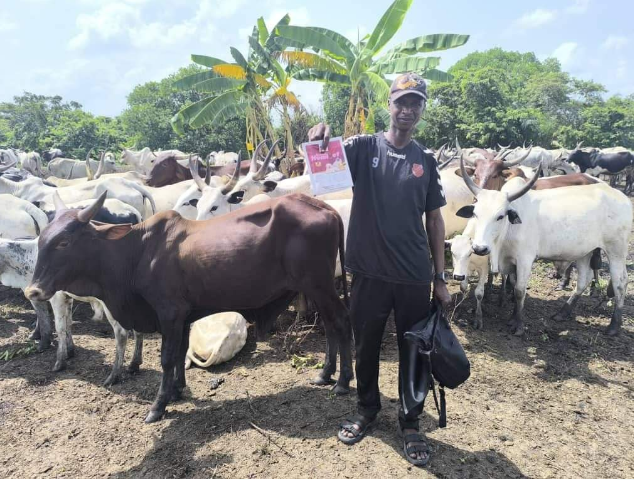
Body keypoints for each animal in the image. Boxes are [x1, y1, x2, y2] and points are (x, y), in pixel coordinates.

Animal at [25, 191, 350, 424]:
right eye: (42, 240)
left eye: (65, 242)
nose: (33, 290)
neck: (137, 253)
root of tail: (326, 208)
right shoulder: (182, 318)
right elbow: (180, 353)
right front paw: (176, 390)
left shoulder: (169, 313)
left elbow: (168, 358)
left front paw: (158, 405)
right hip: (318, 288)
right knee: (332, 325)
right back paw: (325, 374)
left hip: (319, 285)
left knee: (340, 322)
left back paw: (343, 381)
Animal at [456, 159, 628, 336]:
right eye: (475, 213)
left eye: (500, 216)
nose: (479, 248)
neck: (507, 232)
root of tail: (621, 197)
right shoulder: (512, 261)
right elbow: (514, 284)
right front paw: (512, 318)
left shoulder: (525, 259)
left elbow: (519, 290)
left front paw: (518, 325)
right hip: (584, 252)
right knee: (583, 280)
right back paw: (563, 312)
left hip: (616, 250)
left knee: (620, 283)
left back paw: (614, 326)